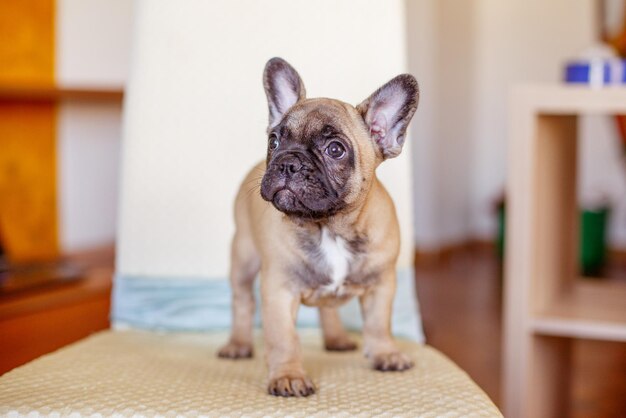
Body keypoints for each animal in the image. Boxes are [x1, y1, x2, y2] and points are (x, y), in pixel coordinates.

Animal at [217, 57, 416, 396]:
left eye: (335, 149)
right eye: (274, 141)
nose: (287, 162)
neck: (329, 227)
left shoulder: (382, 284)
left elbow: (379, 323)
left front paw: (385, 354)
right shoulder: (279, 290)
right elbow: (283, 338)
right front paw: (288, 376)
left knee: (328, 308)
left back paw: (336, 338)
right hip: (243, 256)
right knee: (242, 300)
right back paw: (238, 344)